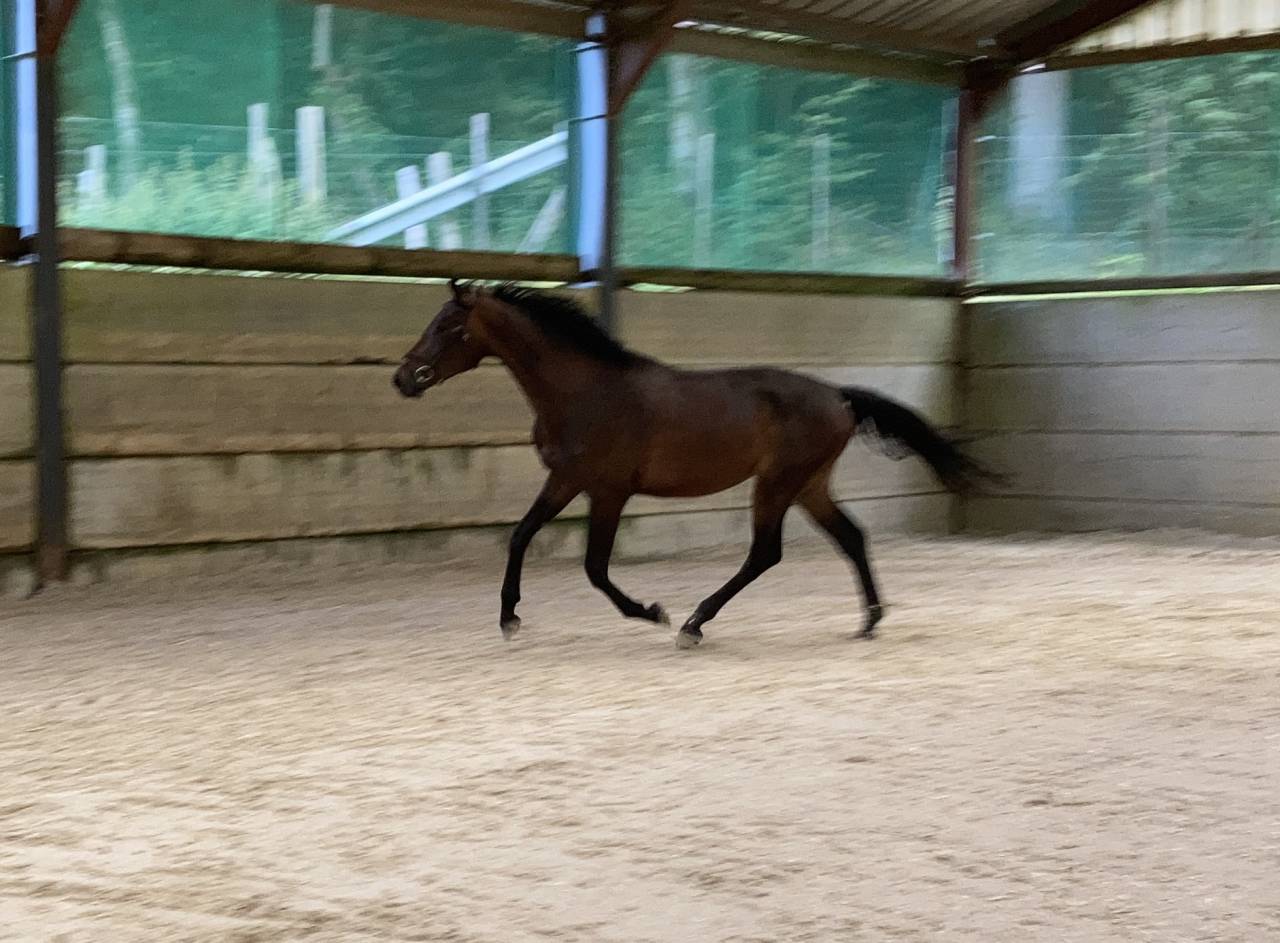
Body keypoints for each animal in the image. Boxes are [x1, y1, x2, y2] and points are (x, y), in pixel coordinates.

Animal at [394, 280, 997, 649]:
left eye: (449, 326)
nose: (404, 378)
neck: (584, 392)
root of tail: (839, 397)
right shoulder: (566, 479)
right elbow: (520, 535)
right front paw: (509, 618)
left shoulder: (608, 490)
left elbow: (595, 567)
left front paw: (652, 611)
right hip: (809, 485)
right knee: (850, 537)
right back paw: (869, 621)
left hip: (777, 483)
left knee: (765, 553)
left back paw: (692, 623)